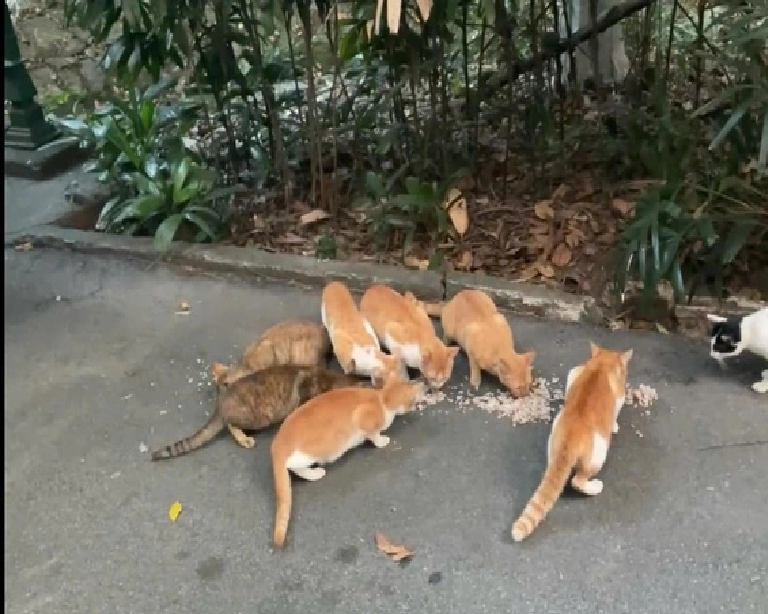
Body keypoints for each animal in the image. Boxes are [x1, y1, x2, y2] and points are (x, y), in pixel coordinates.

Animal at [272, 370, 426, 548]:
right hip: (318, 450)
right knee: (295, 466)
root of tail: (278, 442)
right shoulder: (362, 418)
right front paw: (381, 441)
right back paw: (314, 473)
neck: (382, 399)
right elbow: (373, 434)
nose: (422, 385)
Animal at [510, 344, 632, 548]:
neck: (602, 364)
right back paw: (594, 486)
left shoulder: (574, 373)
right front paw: (614, 426)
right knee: (578, 480)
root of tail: (569, 439)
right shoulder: (619, 397)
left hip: (554, 434)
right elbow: (616, 414)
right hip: (600, 451)